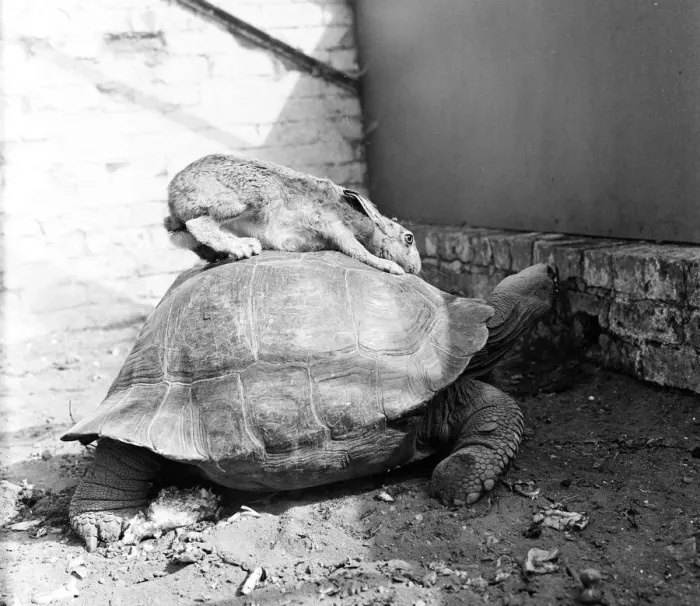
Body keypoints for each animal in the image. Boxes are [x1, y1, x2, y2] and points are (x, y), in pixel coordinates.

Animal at [164, 154, 421, 275]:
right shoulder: (330, 223)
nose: (416, 268)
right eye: (409, 238)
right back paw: (244, 247)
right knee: (199, 225)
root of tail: (174, 189)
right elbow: (355, 249)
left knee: (178, 233)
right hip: (252, 198)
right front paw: (390, 267)